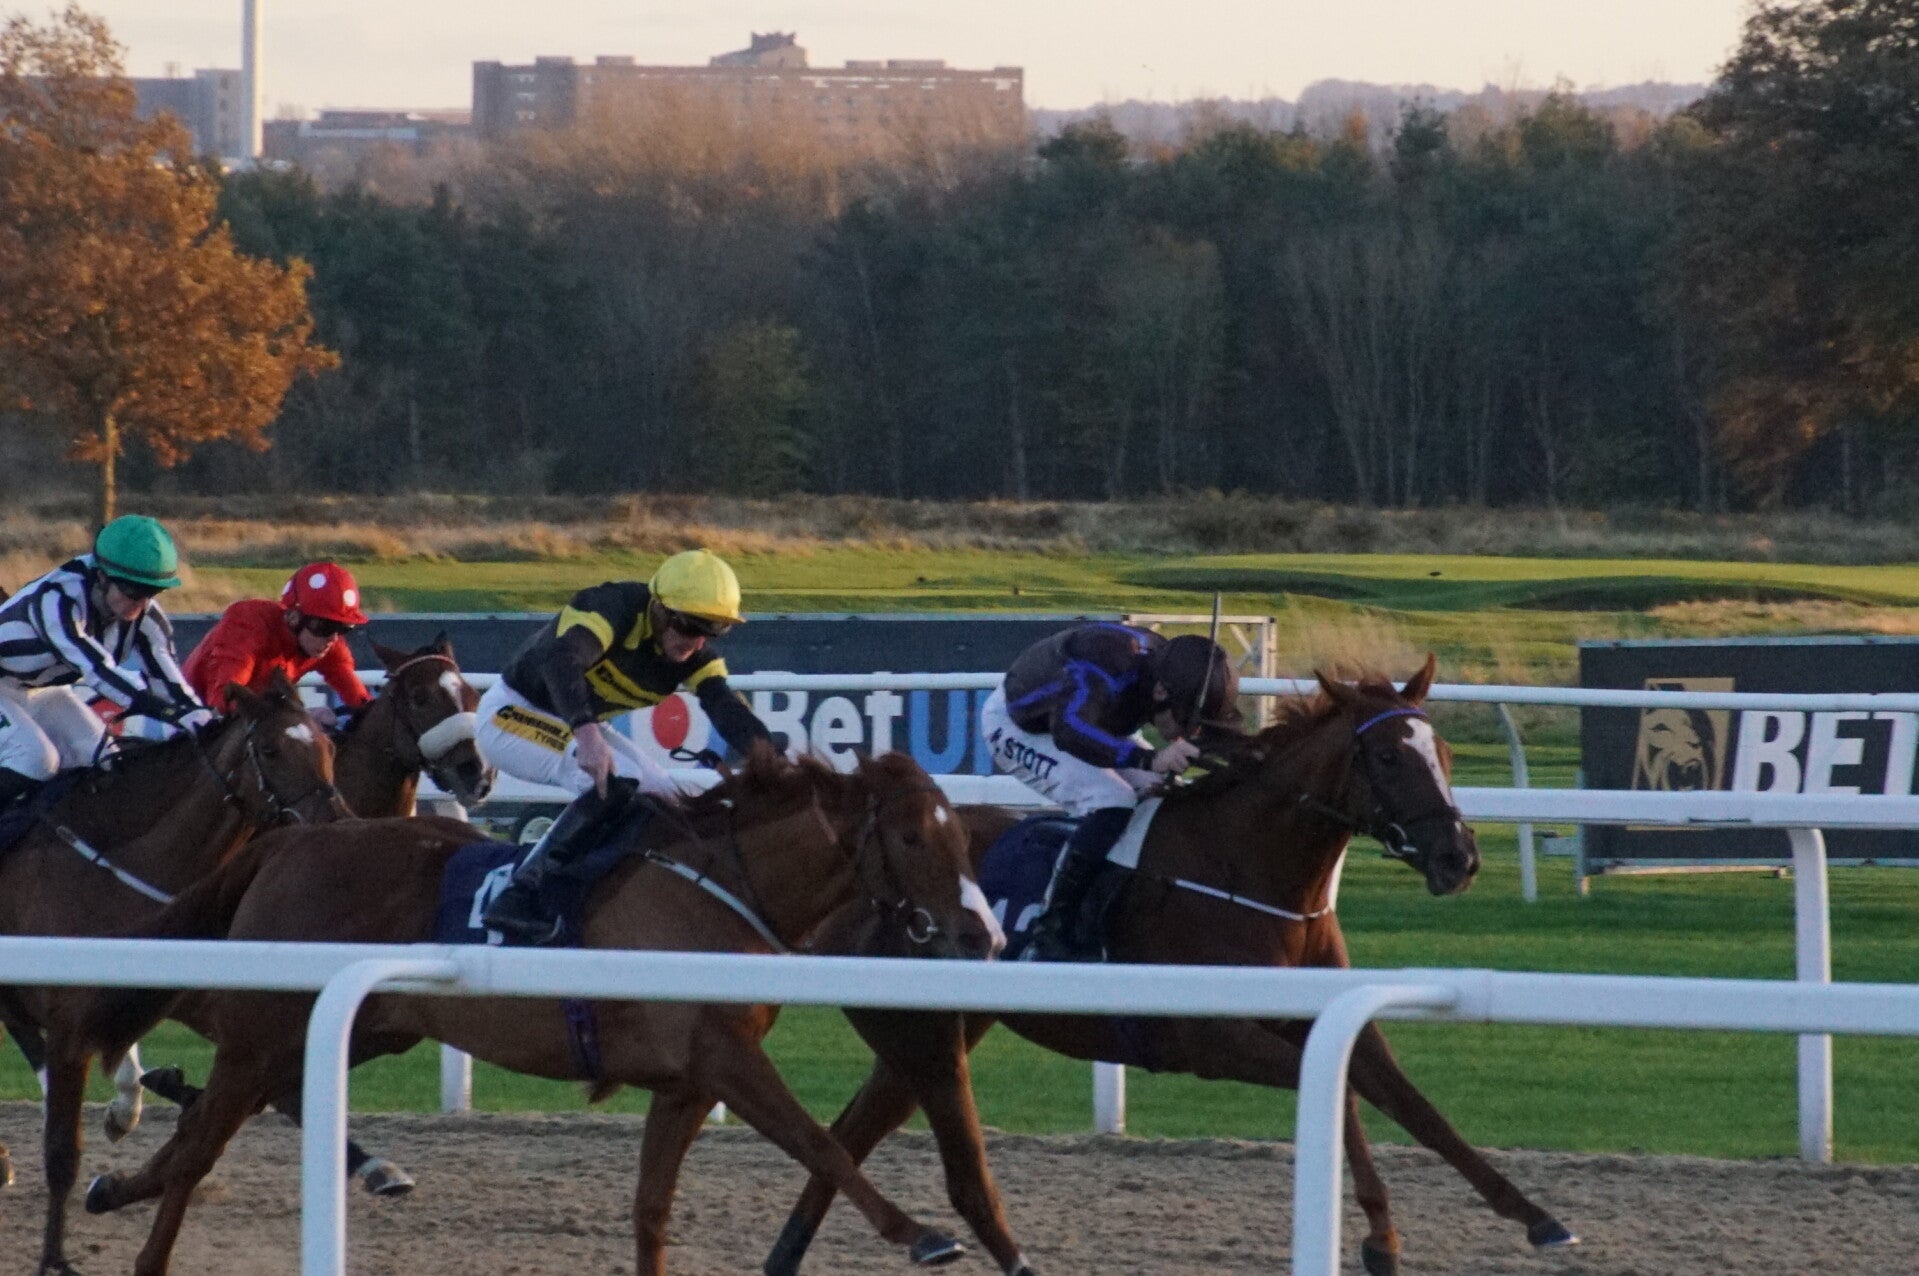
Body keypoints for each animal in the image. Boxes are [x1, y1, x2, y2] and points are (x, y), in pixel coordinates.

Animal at [0, 671, 343, 1276]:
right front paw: (55, 1260)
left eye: (327, 747)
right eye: (271, 750)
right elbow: (63, 1151)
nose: (335, 822)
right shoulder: (68, 1030)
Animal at [82, 746, 1007, 1276]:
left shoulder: (688, 1083)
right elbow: (820, 1144)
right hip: (264, 1029)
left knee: (219, 1119)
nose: (982, 933)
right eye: (914, 839)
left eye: (961, 835)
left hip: (365, 1029)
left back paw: (119, 1179)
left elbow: (650, 1211)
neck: (725, 885)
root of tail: (288, 839)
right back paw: (143, 1228)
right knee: (201, 1145)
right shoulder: (725, 1059)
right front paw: (921, 1233)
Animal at [764, 658, 1578, 1276]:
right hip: (923, 1033)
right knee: (858, 1135)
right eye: (1385, 757)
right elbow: (1342, 1095)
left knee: (849, 1131)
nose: (1458, 859)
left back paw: (787, 1256)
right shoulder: (1209, 1038)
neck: (1249, 870)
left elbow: (1412, 1103)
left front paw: (1538, 1217)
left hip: (933, 1033)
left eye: (1443, 757)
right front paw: (1381, 1239)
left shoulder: (1326, 1011)